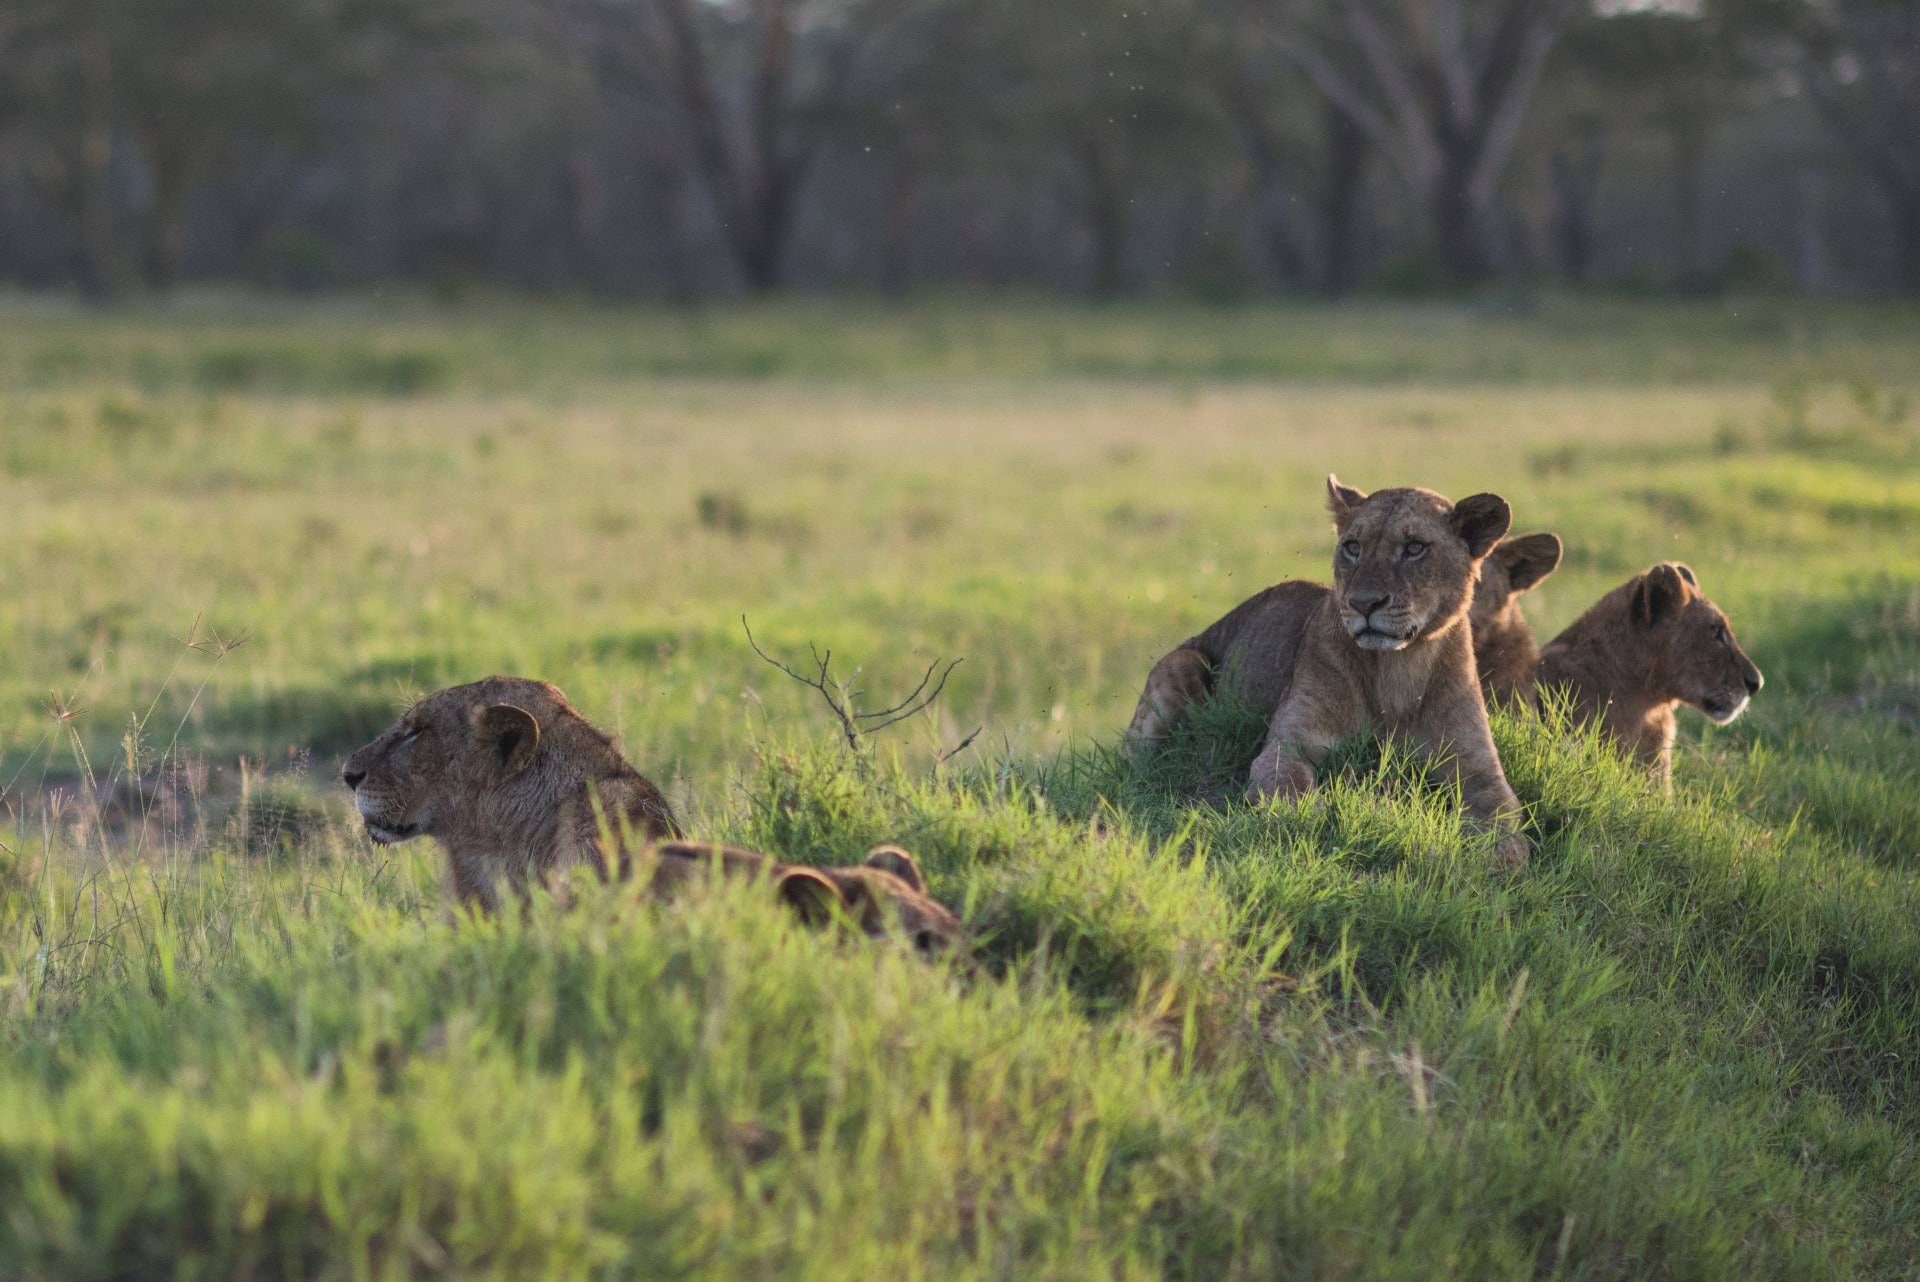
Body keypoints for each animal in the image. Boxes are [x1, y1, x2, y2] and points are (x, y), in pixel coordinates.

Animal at [1126, 476, 1530, 868]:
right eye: (1353, 547)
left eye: (1415, 547)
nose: (1364, 603)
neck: (1398, 669)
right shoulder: (1290, 745)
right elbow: (1296, 798)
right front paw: (1337, 825)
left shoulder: (1478, 768)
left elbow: (1506, 821)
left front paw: (1496, 860)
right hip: (1183, 664)